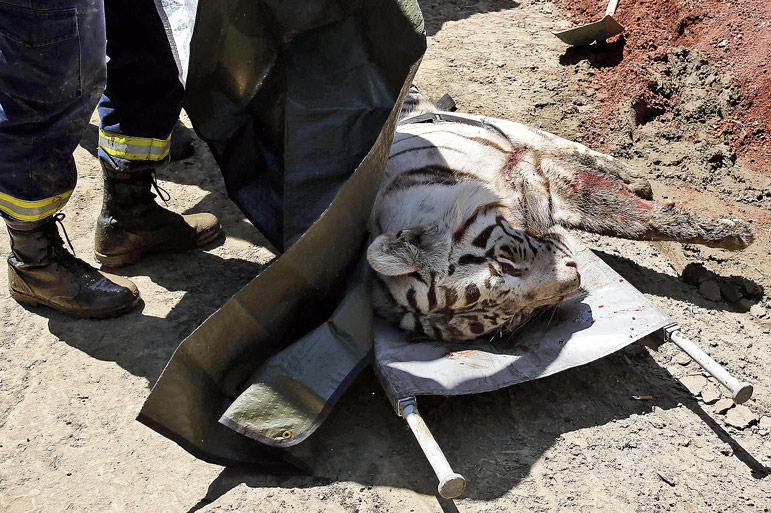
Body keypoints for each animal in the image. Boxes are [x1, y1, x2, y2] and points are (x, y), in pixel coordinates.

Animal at [366, 87, 755, 342]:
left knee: (571, 147)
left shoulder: (532, 171)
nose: (574, 280)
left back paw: (635, 178)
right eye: (517, 318)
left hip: (514, 132)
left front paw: (732, 233)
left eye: (509, 259)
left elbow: (628, 215)